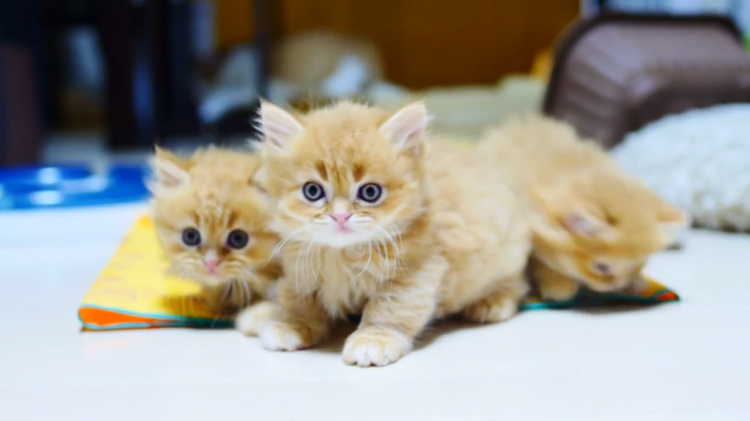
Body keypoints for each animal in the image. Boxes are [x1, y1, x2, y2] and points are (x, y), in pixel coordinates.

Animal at [250, 100, 532, 366]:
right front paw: (292, 325)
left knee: (517, 283)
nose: (340, 216)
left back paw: (492, 303)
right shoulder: (300, 269)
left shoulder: (417, 272)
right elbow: (299, 302)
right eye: (312, 191)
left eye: (370, 192)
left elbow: (389, 310)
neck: (344, 255)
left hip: (506, 255)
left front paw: (373, 340)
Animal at [478, 114, 692, 298]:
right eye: (602, 268)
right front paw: (558, 287)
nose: (615, 285)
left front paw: (636, 282)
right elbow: (542, 261)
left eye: (636, 265)